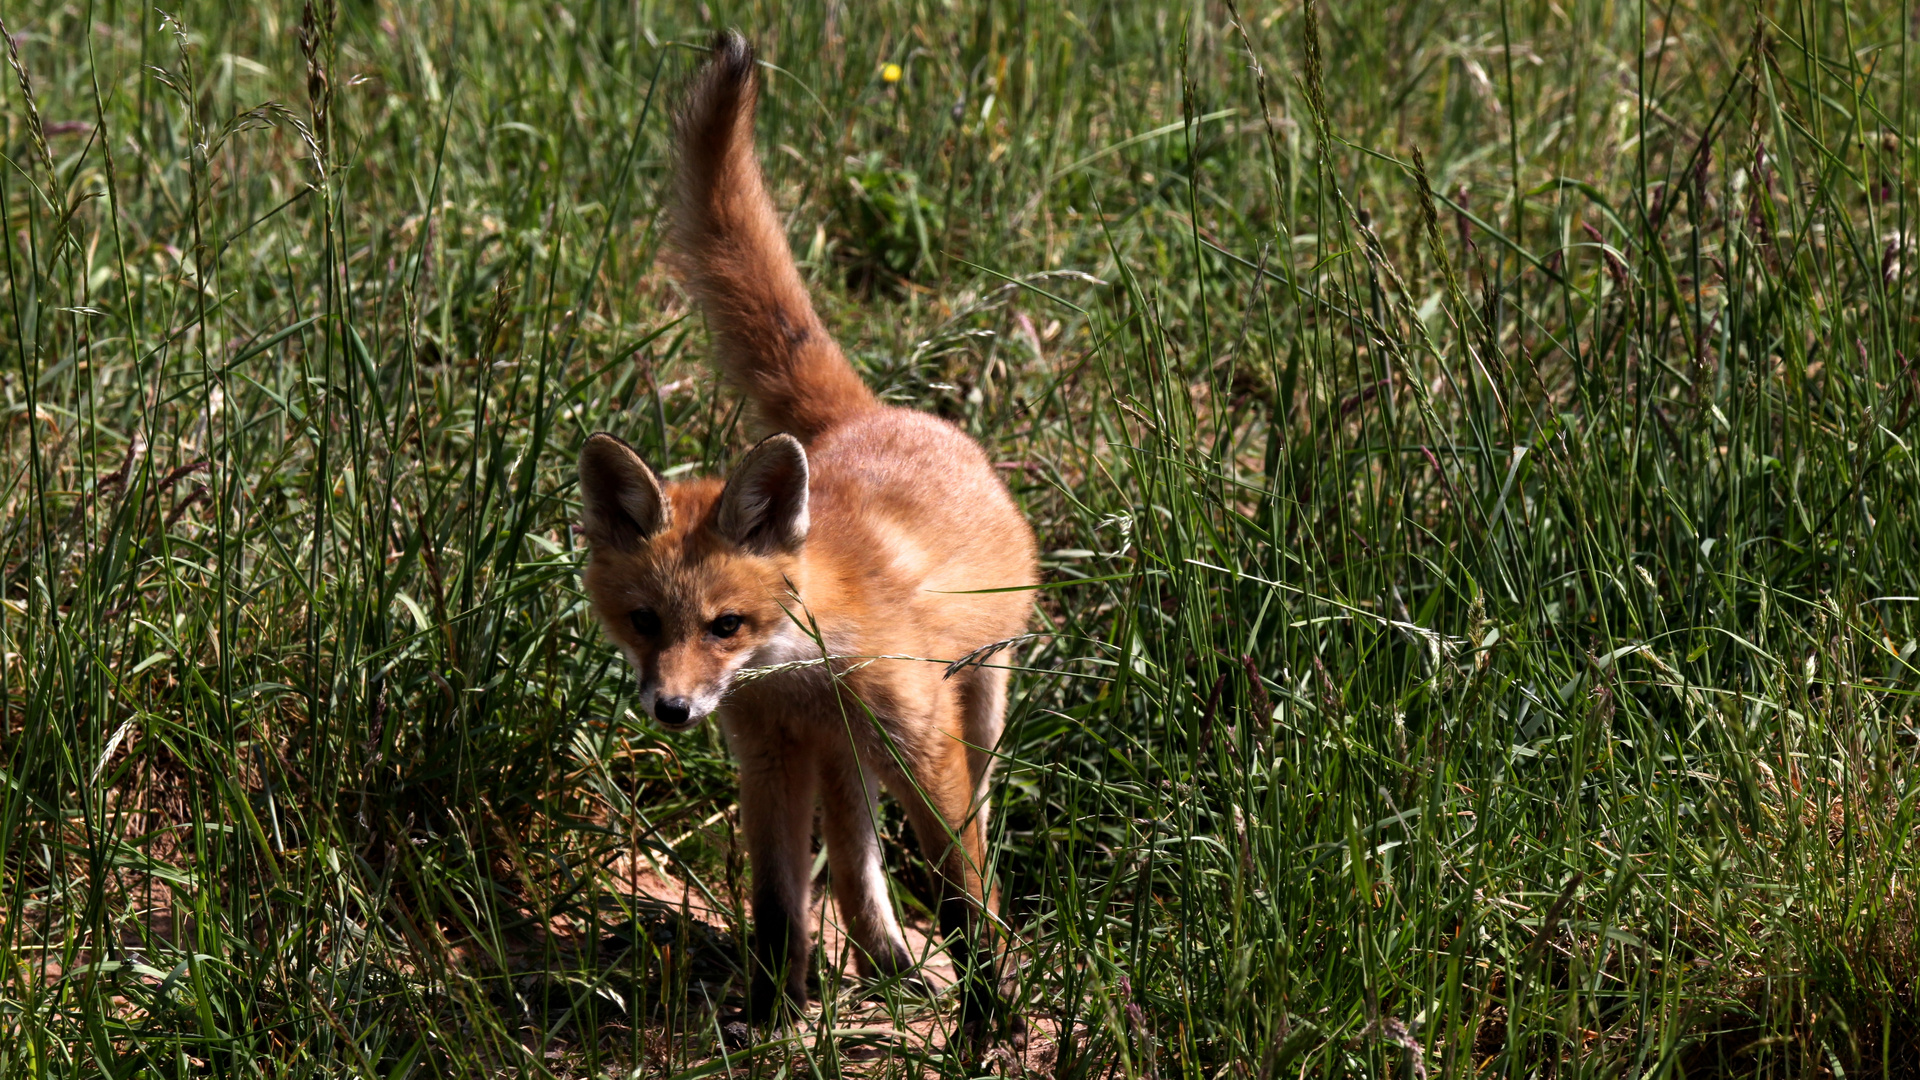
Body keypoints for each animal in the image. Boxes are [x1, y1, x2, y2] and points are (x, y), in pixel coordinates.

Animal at [576, 33, 1036, 1045]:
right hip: (843, 759)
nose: (671, 710)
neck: (801, 670)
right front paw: (770, 1017)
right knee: (859, 863)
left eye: (725, 625)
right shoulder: (769, 756)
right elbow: (779, 906)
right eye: (642, 622)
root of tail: (860, 418)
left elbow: (963, 898)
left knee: (954, 831)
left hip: (979, 704)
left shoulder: (923, 747)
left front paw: (991, 1020)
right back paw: (882, 959)